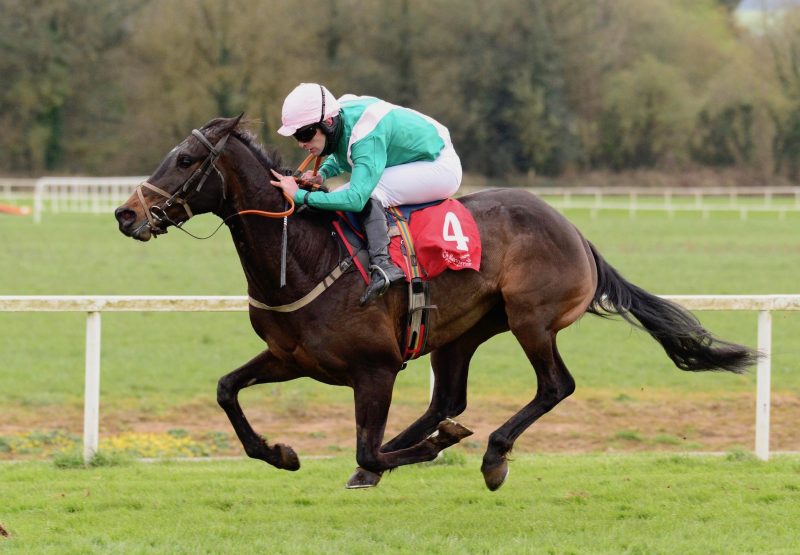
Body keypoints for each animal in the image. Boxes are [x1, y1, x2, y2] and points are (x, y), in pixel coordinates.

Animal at [112, 114, 756, 490]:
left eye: (186, 160)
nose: (125, 213)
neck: (304, 261)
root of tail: (576, 232)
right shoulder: (290, 357)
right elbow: (227, 390)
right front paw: (281, 452)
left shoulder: (375, 369)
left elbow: (369, 448)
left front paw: (423, 451)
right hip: (460, 332)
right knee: (446, 399)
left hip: (531, 319)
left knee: (554, 386)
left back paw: (491, 455)